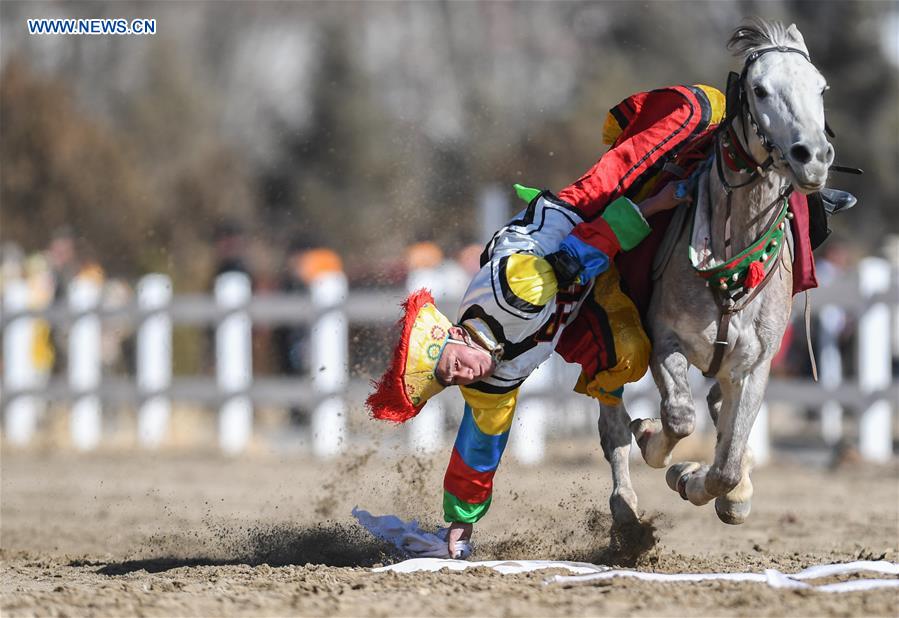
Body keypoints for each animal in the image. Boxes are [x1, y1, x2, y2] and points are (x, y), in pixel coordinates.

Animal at [596, 16, 836, 524]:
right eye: (760, 90)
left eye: (821, 88)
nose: (812, 156)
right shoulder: (665, 339)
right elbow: (677, 417)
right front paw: (657, 444)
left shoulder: (755, 365)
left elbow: (726, 463)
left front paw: (704, 482)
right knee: (612, 423)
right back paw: (625, 504)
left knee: (719, 412)